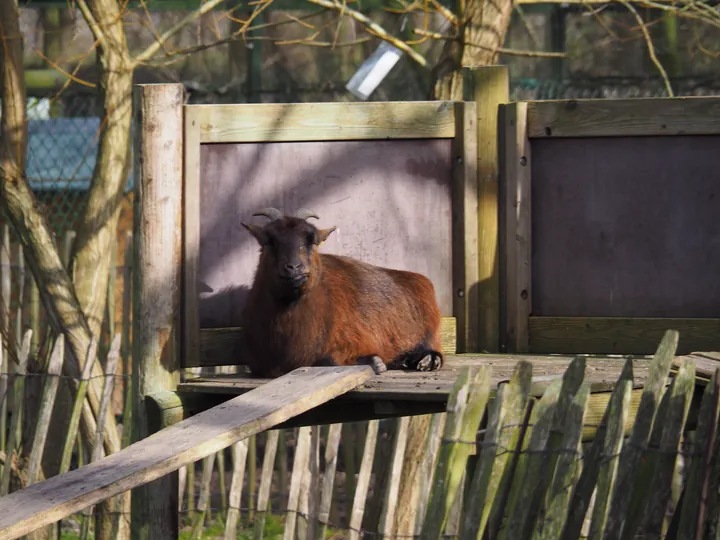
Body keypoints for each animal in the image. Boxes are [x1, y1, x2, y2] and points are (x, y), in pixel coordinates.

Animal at [239, 209, 444, 378]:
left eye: (312, 240)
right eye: (269, 240)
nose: (294, 268)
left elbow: (327, 360)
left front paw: (373, 362)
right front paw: (375, 361)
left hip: (429, 332)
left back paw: (427, 360)